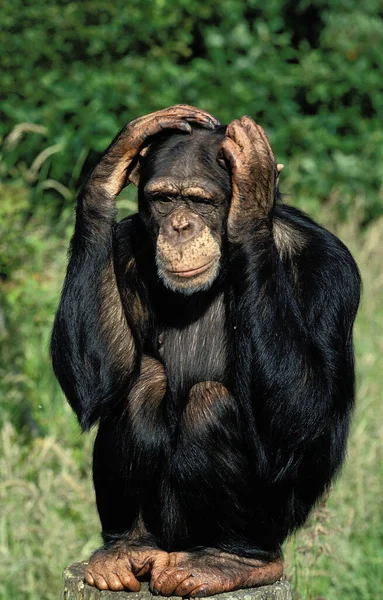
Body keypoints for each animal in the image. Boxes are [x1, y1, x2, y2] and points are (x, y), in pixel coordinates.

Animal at [50, 104, 360, 596]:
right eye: (163, 199)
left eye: (201, 201)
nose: (180, 226)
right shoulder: (122, 248)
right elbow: (96, 381)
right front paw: (116, 158)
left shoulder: (328, 265)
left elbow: (302, 417)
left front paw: (252, 189)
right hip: (166, 534)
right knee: (141, 385)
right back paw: (126, 547)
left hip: (266, 528)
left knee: (210, 404)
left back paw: (234, 560)